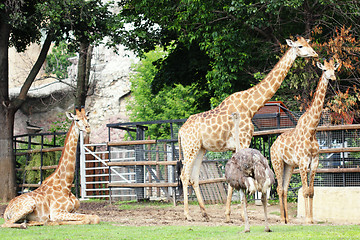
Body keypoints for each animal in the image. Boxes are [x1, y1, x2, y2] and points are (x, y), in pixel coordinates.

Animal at [178, 35, 318, 221]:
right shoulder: (243, 140)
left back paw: (205, 213)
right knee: (184, 175)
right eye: (301, 46)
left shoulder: (235, 146)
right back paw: (187, 215)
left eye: (308, 43)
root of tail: (180, 131)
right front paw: (240, 216)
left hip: (200, 148)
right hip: (190, 147)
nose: (315, 53)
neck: (252, 106)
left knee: (193, 177)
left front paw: (229, 215)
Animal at [272, 58, 338, 225]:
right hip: (277, 162)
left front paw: (312, 219)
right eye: (325, 70)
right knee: (279, 188)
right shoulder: (302, 162)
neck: (312, 131)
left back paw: (287, 219)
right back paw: (281, 219)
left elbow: (312, 191)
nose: (333, 78)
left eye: (334, 69)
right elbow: (305, 191)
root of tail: (273, 145)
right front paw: (307, 219)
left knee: (285, 188)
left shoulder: (314, 161)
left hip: (289, 165)